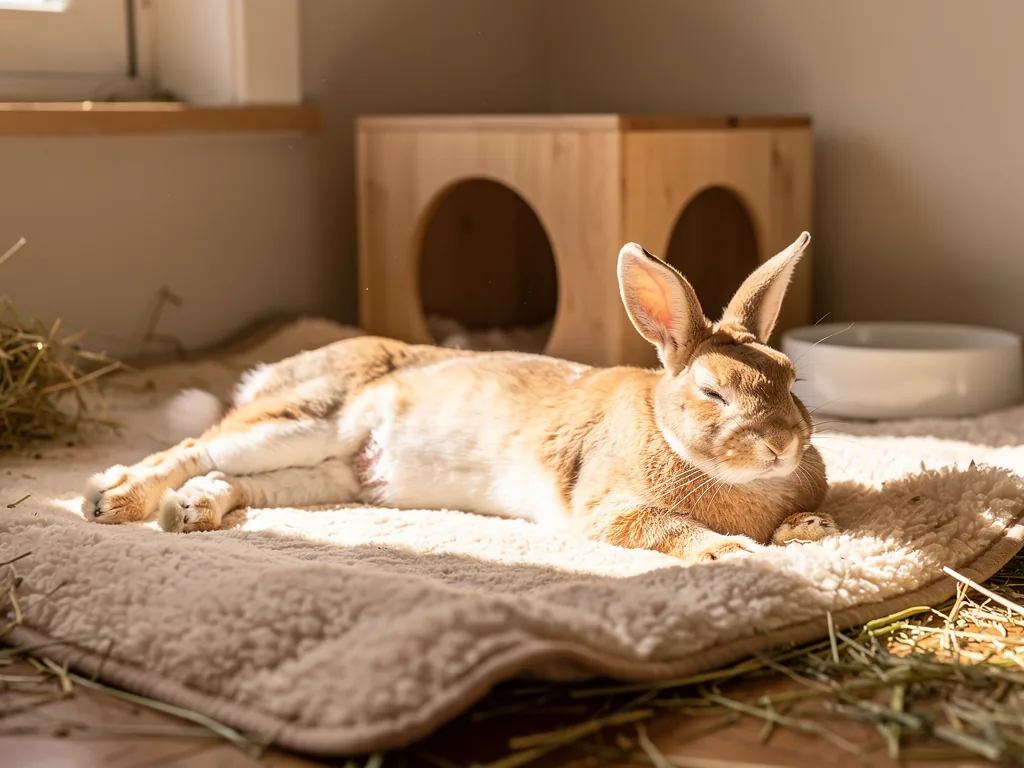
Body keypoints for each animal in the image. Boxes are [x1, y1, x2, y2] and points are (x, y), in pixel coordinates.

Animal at [83, 232, 833, 563]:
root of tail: (265, 377)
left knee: (233, 479)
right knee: (189, 448)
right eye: (712, 392)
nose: (782, 446)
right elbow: (665, 529)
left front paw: (809, 532)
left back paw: (192, 512)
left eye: (790, 377)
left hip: (328, 475)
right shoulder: (609, 509)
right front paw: (728, 553)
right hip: (303, 420)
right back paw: (110, 502)